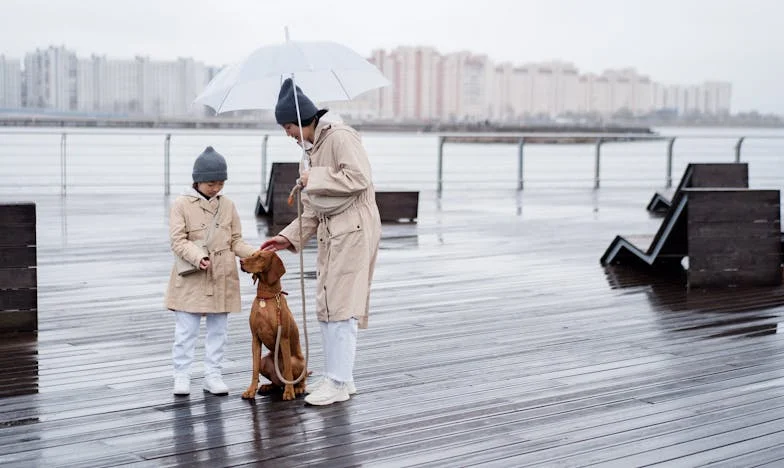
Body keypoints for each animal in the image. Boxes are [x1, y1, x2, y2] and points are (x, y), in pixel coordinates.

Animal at [240, 250, 308, 400]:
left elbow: (287, 370)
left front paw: (289, 392)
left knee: (300, 378)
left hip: (297, 362)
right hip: (264, 361)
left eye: (260, 257)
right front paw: (251, 390)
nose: (241, 261)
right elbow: (254, 368)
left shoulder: (283, 338)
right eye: (252, 254)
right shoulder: (255, 339)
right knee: (276, 382)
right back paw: (269, 386)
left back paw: (297, 388)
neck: (266, 298)